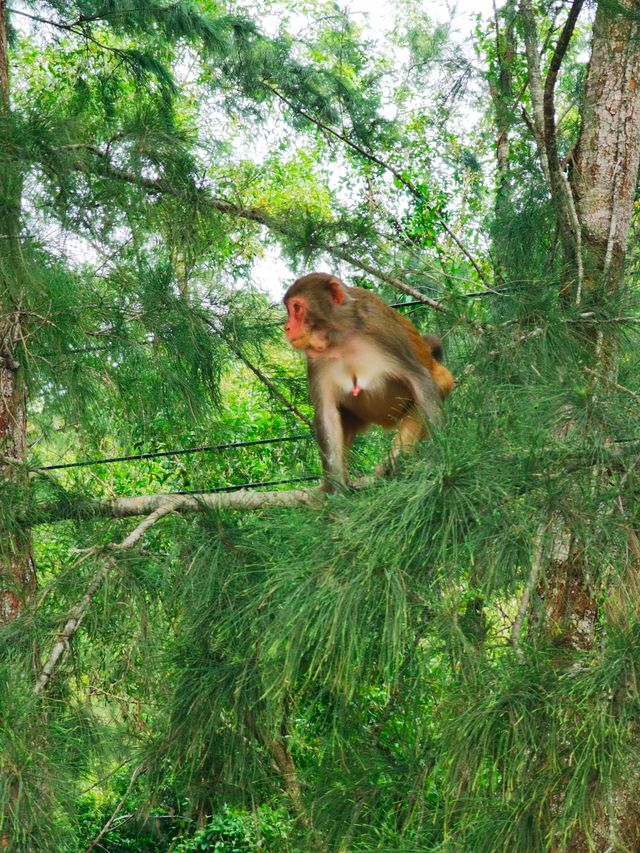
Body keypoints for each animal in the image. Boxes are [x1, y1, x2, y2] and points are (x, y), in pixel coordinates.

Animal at [284, 270, 456, 490]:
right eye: (289, 310)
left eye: (297, 308)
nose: (287, 328)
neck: (341, 337)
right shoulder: (315, 360)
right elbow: (327, 413)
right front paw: (335, 490)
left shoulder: (381, 331)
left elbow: (420, 380)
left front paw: (443, 457)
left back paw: (394, 463)